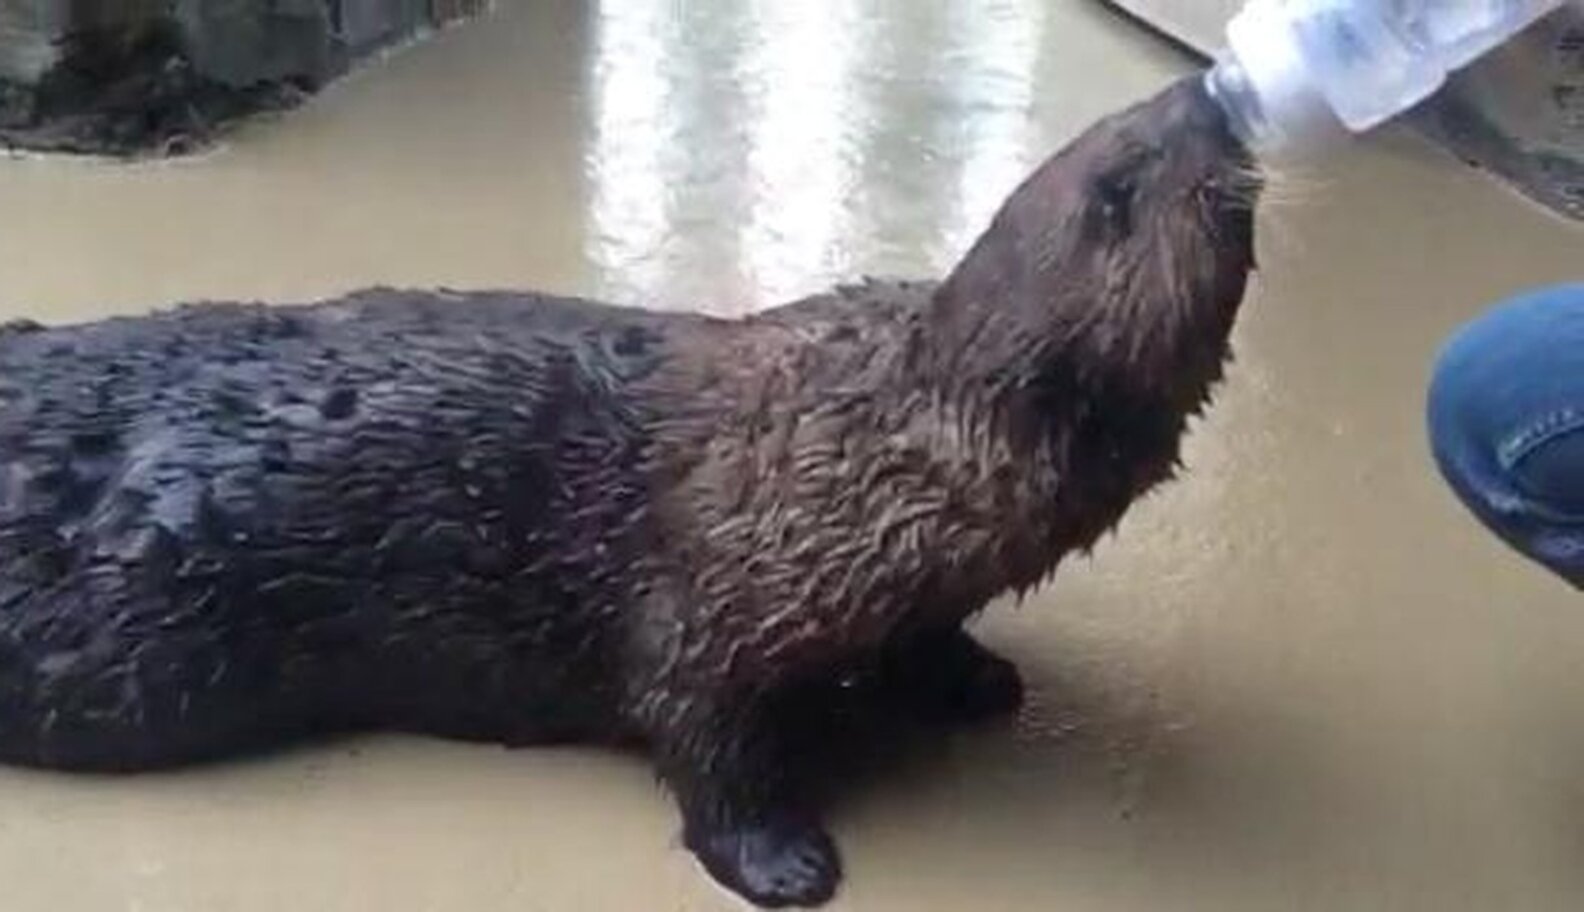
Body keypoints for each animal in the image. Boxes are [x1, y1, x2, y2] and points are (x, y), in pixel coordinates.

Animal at [0, 76, 1256, 907]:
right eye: (1119, 183)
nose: (1208, 95)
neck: (866, 447)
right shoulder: (714, 603)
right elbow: (701, 730)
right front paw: (785, 863)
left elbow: (924, 634)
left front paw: (976, 676)